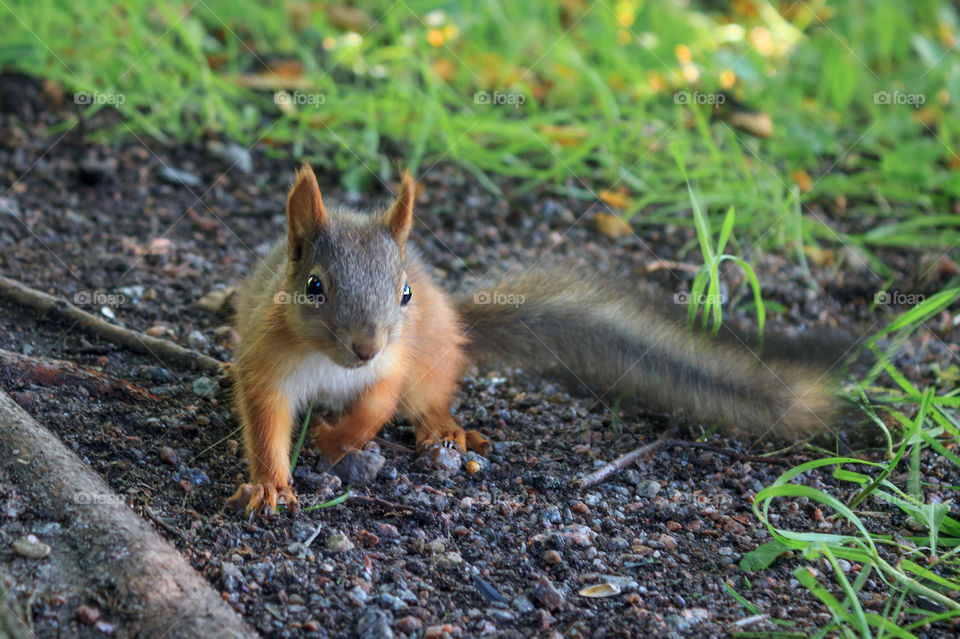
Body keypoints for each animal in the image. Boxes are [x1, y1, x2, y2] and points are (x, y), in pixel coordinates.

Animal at [225, 162, 840, 516]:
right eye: (314, 286)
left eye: (404, 294)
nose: (366, 346)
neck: (334, 365)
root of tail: (455, 319)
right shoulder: (267, 363)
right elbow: (265, 423)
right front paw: (271, 486)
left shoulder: (393, 364)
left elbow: (374, 408)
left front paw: (334, 439)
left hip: (430, 358)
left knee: (428, 397)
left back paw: (442, 428)